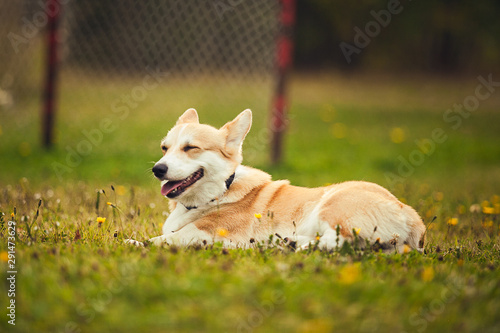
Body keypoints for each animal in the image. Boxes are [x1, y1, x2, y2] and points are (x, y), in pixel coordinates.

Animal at [125, 109, 426, 252]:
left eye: (190, 148)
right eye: (165, 148)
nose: (158, 170)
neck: (220, 192)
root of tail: (411, 215)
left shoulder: (204, 233)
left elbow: (162, 239)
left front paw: (135, 243)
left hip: (333, 206)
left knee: (339, 241)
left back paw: (294, 245)